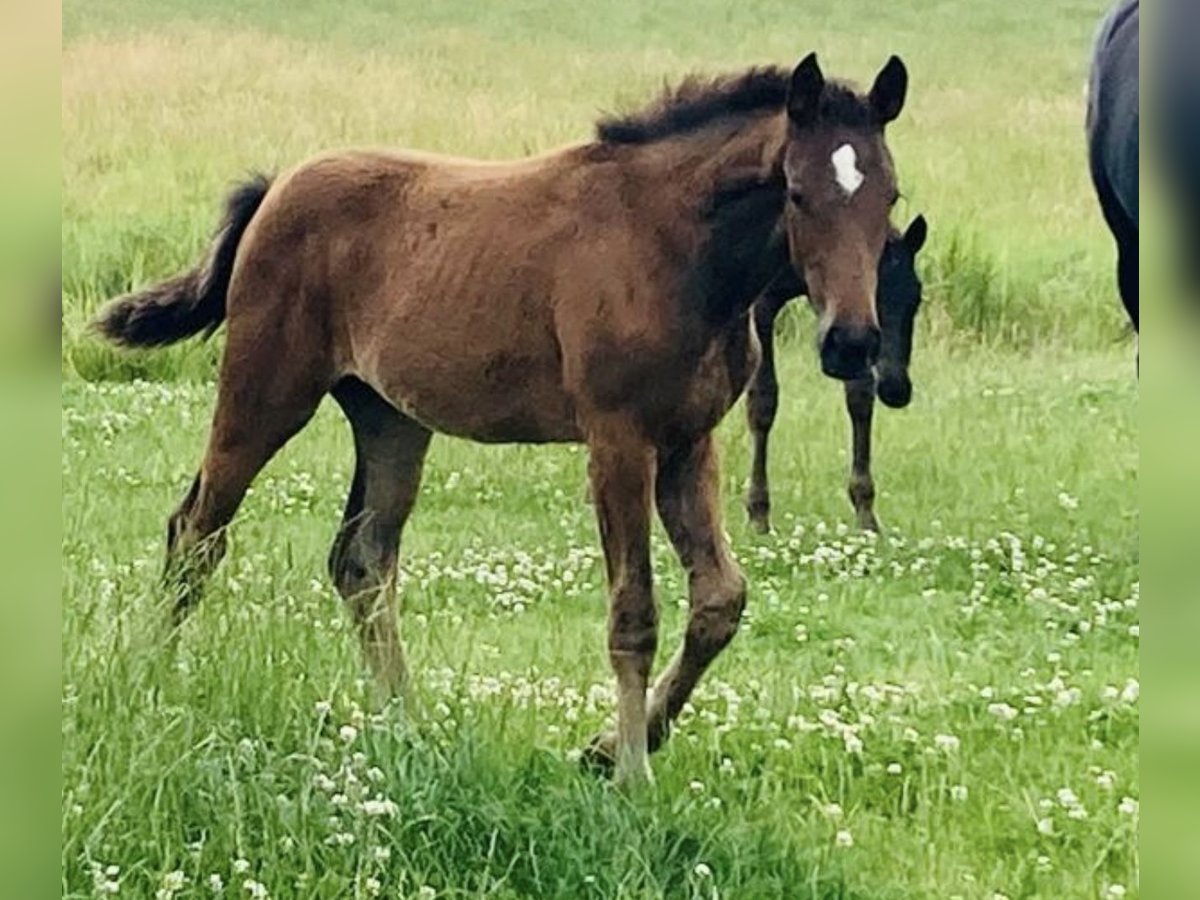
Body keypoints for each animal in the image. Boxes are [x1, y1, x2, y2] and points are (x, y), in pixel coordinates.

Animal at [96, 52, 907, 787]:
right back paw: (151, 680)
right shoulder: (618, 439)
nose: (851, 341)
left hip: (391, 419)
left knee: (361, 560)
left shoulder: (688, 441)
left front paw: (610, 747)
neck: (675, 249)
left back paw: (408, 724)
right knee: (196, 531)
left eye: (890, 196)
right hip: (266, 389)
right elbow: (634, 611)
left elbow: (720, 600)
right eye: (796, 193)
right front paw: (631, 774)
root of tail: (274, 190)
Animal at [739, 214, 926, 532]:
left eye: (916, 297)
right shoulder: (762, 304)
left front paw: (866, 511)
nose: (896, 388)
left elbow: (860, 399)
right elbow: (764, 401)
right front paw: (758, 514)